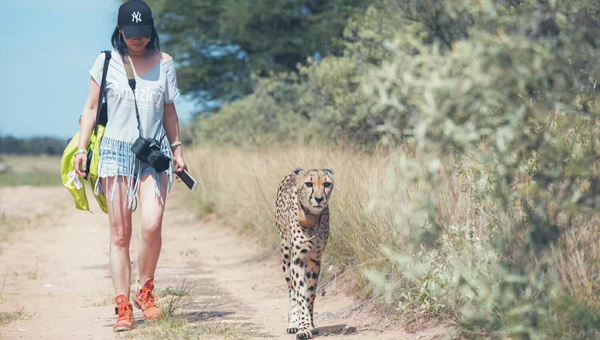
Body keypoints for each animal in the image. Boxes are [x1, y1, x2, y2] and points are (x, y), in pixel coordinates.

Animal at [276, 167, 332, 338]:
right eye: (309, 183)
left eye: (327, 184)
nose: (319, 199)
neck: (311, 218)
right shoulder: (297, 259)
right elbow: (300, 294)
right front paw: (303, 327)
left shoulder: (315, 260)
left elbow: (310, 294)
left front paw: (310, 325)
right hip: (286, 255)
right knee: (291, 291)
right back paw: (293, 322)